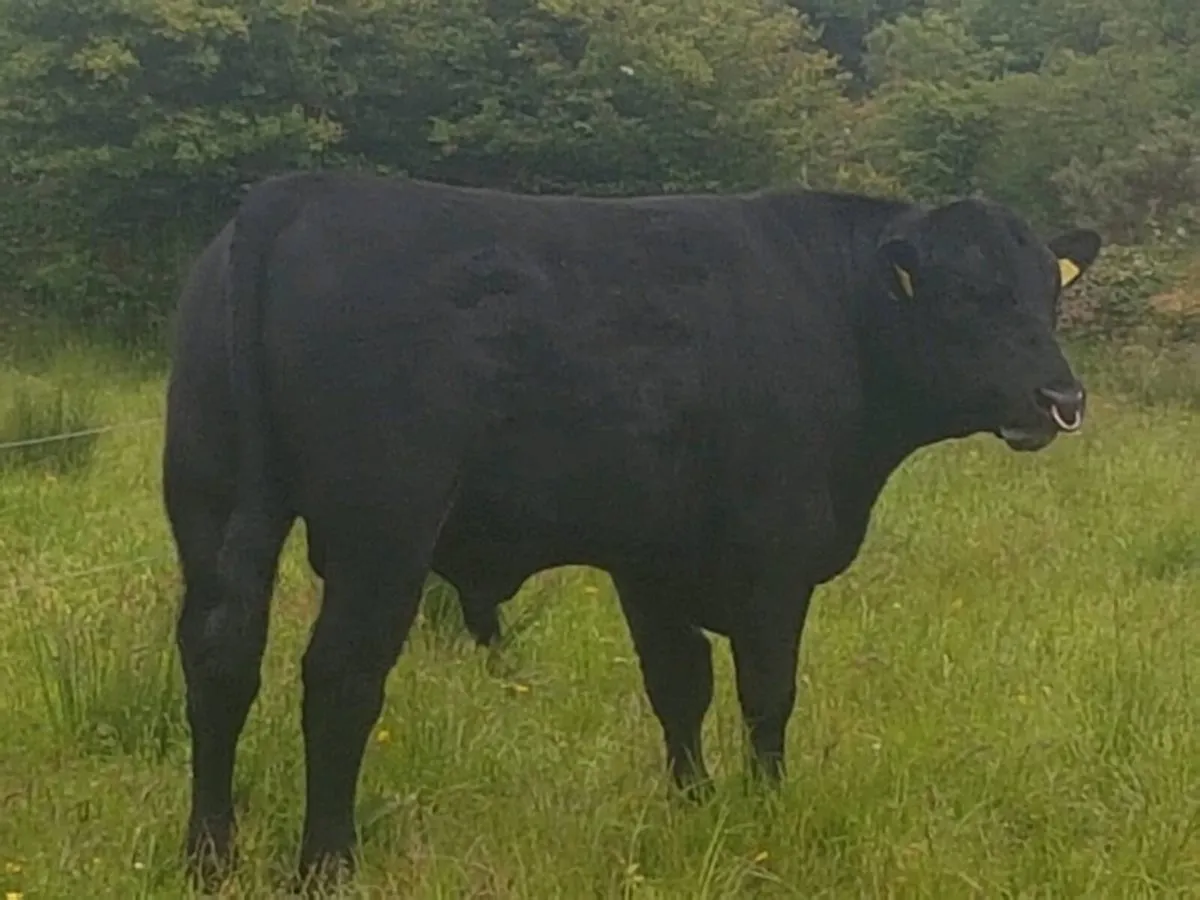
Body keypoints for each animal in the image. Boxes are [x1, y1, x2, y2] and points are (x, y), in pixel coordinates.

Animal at [162, 170, 1100, 886]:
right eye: (970, 296)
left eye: (1049, 297)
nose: (1061, 398)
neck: (836, 313)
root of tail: (300, 192)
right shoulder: (776, 560)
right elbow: (767, 693)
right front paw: (767, 803)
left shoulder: (650, 562)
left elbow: (678, 685)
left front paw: (696, 804)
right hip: (382, 531)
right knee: (340, 681)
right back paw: (327, 862)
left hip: (208, 500)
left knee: (219, 660)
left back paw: (210, 856)